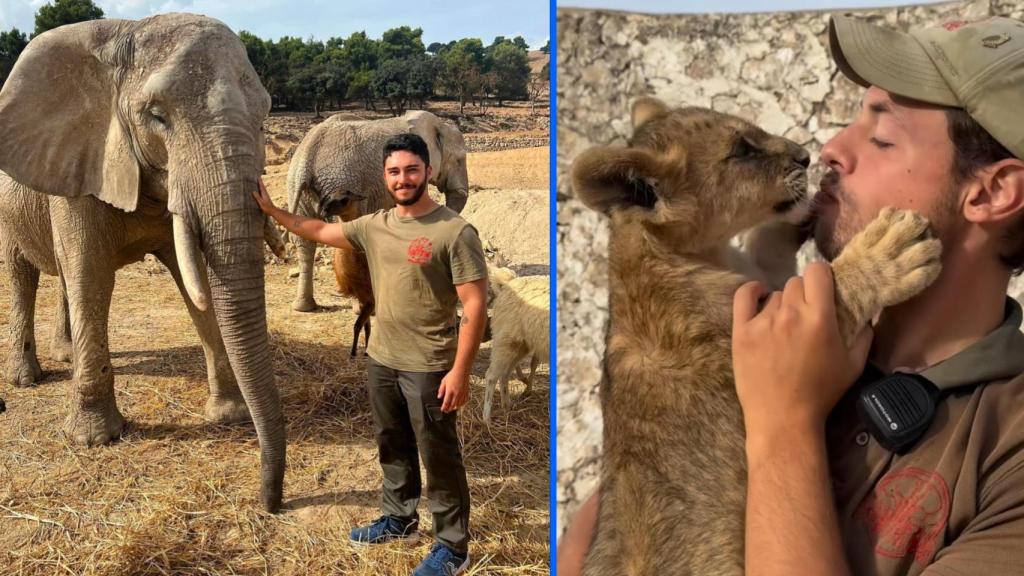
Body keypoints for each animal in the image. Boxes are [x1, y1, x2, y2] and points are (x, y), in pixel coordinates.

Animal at [1, 12, 288, 506]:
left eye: (265, 113)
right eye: (157, 116)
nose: (270, 501)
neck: (126, 33)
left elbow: (198, 280)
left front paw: (228, 413)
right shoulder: (85, 160)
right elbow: (91, 277)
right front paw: (95, 438)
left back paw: (65, 355)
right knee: (23, 274)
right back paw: (27, 378)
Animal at [284, 109, 468, 311]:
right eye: (459, 160)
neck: (438, 125)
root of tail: (306, 160)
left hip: (298, 188)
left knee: (305, 239)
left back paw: (304, 307)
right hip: (341, 183)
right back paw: (358, 305)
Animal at [481, 266, 548, 422]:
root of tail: (509, 283)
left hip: (520, 345)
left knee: (504, 374)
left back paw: (507, 406)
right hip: (505, 341)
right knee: (491, 376)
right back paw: (486, 420)